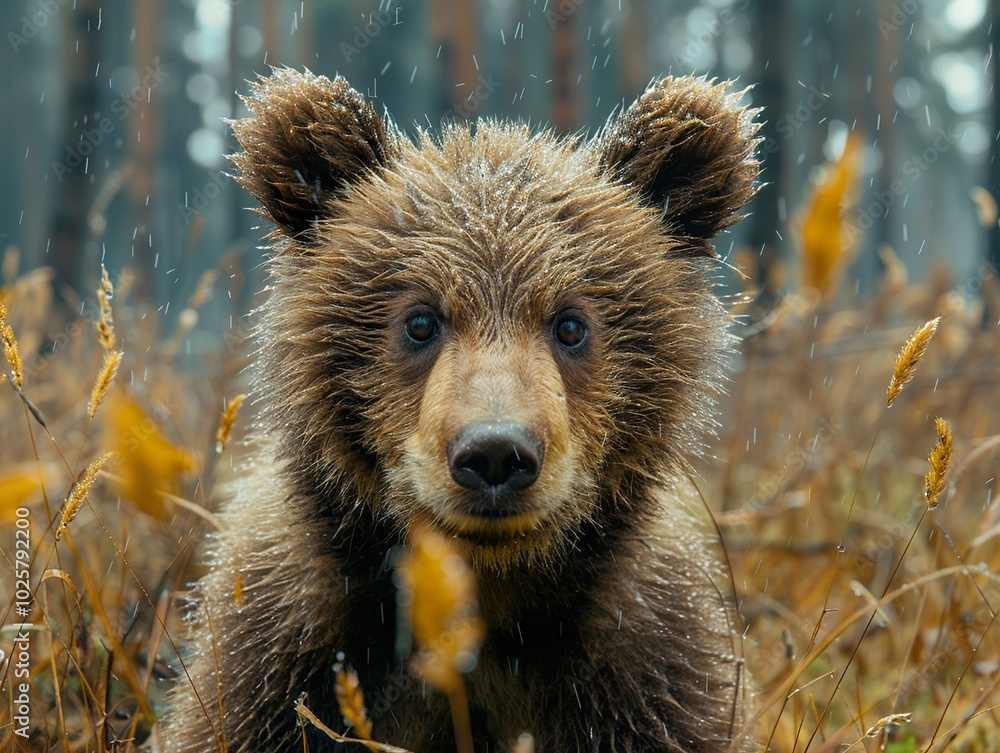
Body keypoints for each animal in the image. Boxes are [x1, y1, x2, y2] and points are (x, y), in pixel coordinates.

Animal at [158, 68, 760, 753]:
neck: (487, 600)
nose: (495, 452)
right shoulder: (281, 663)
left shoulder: (645, 674)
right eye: (420, 320)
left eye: (571, 324)